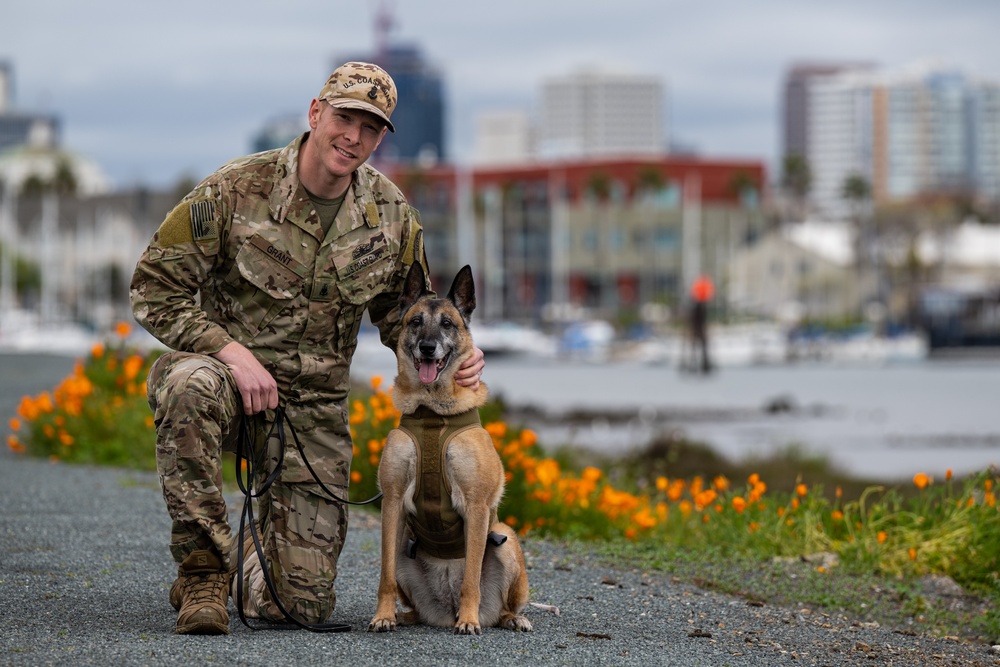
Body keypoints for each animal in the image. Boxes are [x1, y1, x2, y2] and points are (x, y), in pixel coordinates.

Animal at [368, 262, 536, 636]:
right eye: (416, 321)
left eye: (447, 323)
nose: (428, 348)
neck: (433, 412)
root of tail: (445, 610)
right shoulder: (392, 501)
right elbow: (384, 576)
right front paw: (383, 615)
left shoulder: (475, 507)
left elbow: (471, 577)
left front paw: (469, 620)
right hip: (403, 541)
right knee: (410, 601)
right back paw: (406, 616)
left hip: (505, 537)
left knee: (502, 607)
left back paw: (507, 618)